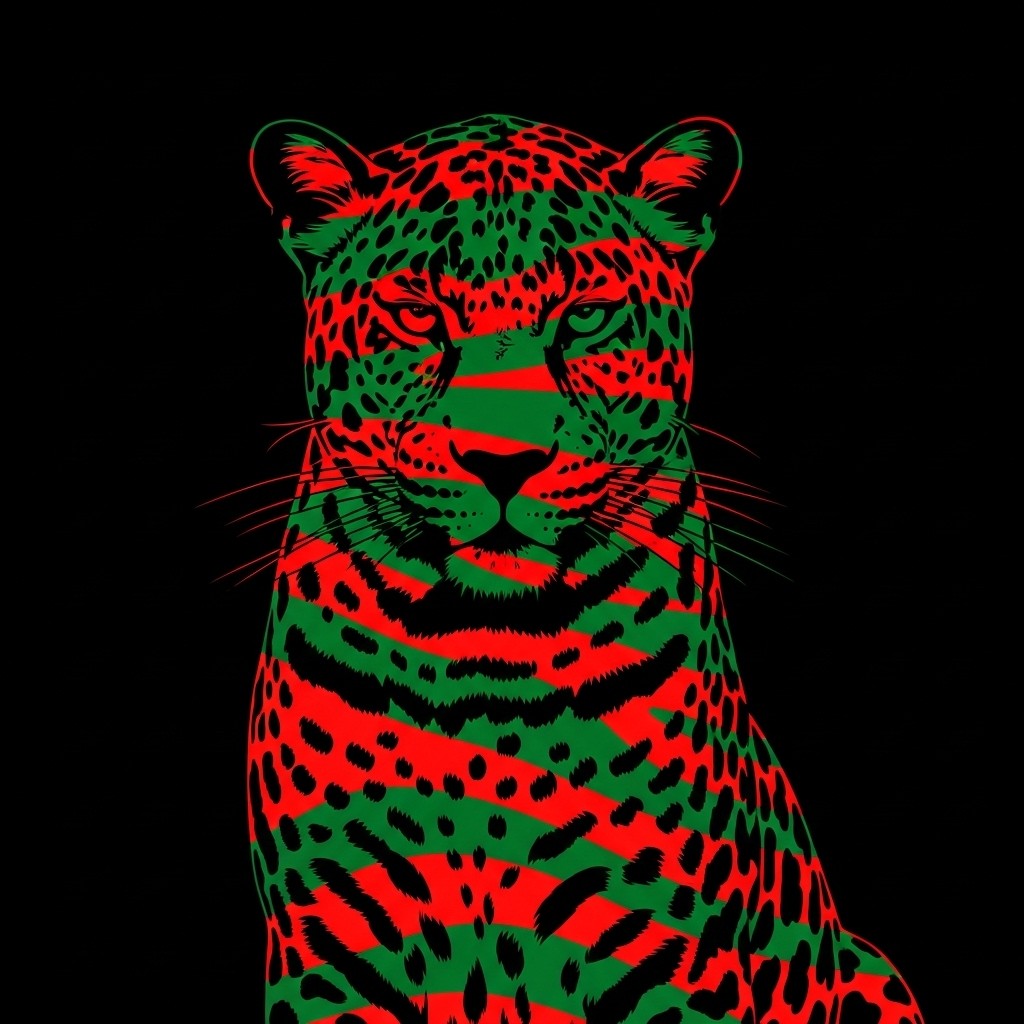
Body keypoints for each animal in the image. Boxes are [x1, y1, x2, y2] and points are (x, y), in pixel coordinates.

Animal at [244, 112, 924, 1024]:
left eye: (587, 317)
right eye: (419, 315)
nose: (502, 460)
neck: (482, 661)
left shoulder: (670, 962)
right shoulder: (331, 957)